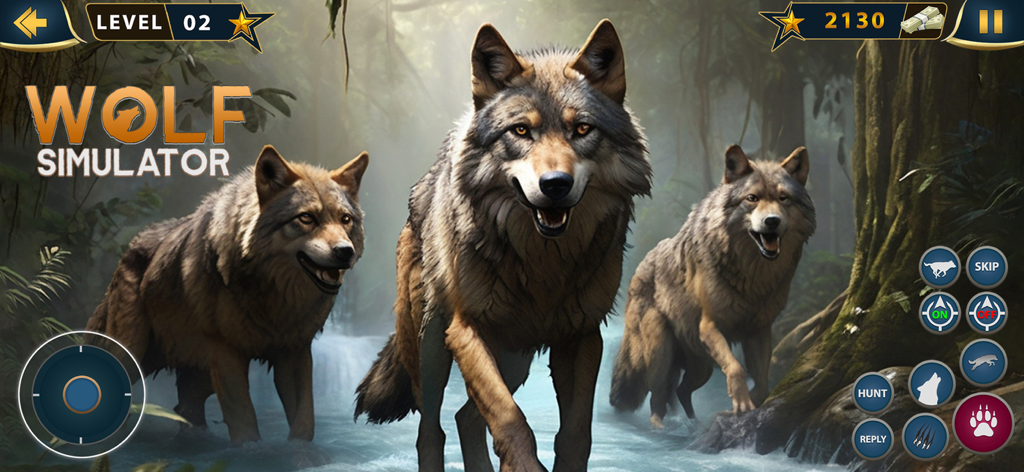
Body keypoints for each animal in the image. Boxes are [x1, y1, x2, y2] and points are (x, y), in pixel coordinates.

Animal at [86, 145, 368, 443]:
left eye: (345, 219)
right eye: (306, 218)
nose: (345, 251)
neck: (273, 297)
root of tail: (130, 247)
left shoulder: (295, 352)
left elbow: (304, 422)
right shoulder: (227, 354)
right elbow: (245, 424)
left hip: (198, 373)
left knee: (184, 408)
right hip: (132, 356)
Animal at [354, 20, 651, 472]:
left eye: (582, 129)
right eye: (521, 131)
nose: (555, 185)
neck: (543, 262)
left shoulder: (582, 335)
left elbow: (575, 434)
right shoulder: (465, 330)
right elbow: (510, 418)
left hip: (516, 357)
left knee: (466, 418)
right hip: (432, 347)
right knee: (431, 429)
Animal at [609, 145, 815, 428]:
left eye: (783, 199)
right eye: (752, 198)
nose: (772, 221)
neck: (752, 276)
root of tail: (637, 271)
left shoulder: (760, 331)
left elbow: (762, 381)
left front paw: (752, 402)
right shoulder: (709, 327)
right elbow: (736, 368)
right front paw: (741, 403)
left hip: (701, 367)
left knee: (681, 391)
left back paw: (693, 423)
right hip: (662, 353)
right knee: (657, 397)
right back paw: (660, 428)